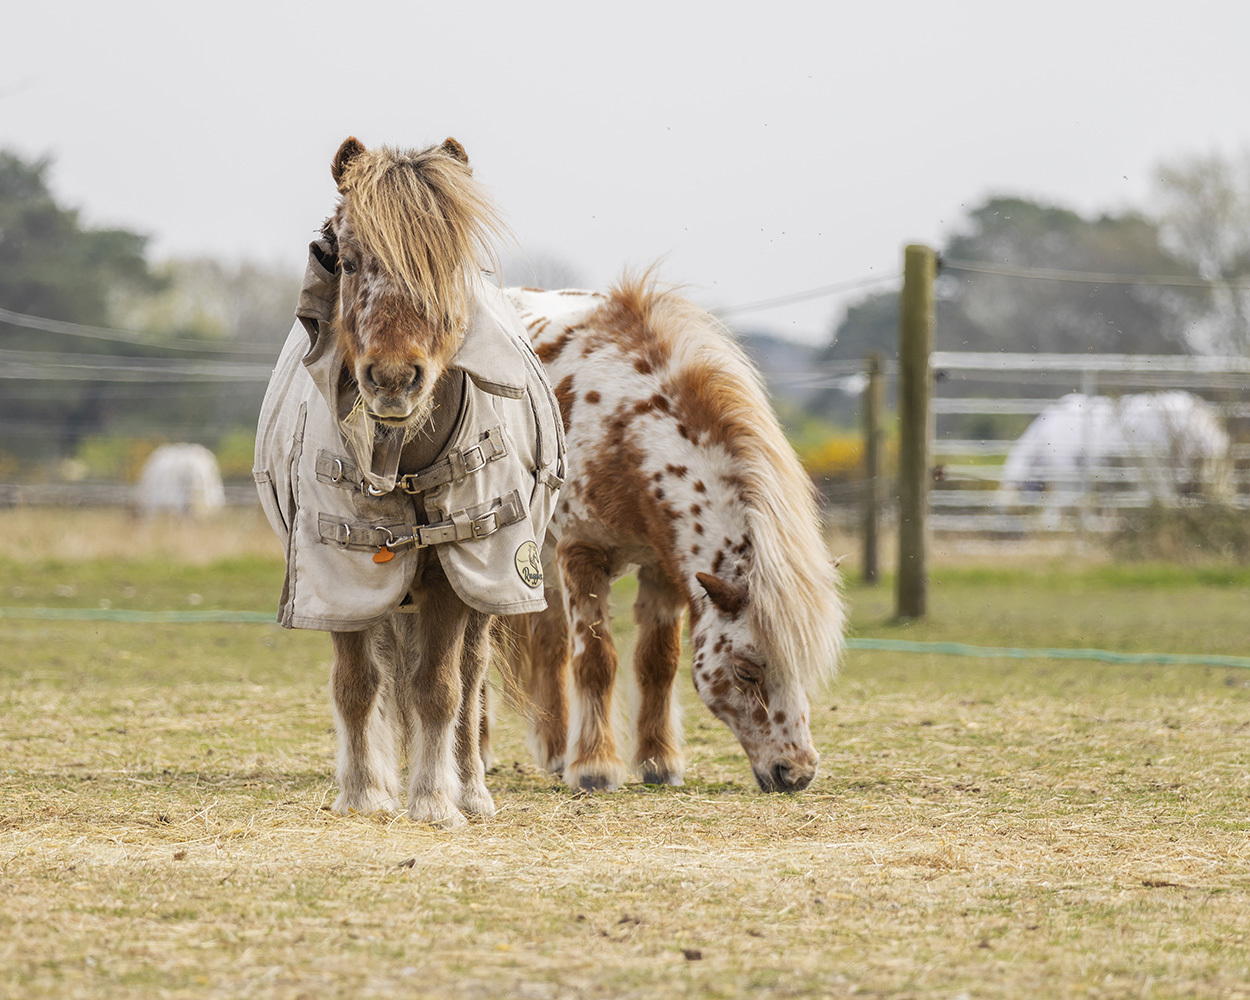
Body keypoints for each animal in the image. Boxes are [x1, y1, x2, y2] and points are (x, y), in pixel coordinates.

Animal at [254, 137, 562, 827]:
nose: (394, 379)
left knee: (469, 679)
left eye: (448, 265)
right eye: (347, 260)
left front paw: (433, 800)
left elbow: (439, 689)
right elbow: (356, 685)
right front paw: (365, 793)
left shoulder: (458, 567)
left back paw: (469, 788)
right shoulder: (339, 578)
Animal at [503, 278, 845, 792]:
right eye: (746, 671)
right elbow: (596, 660)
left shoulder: (662, 566)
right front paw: (595, 766)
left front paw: (657, 761)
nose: (796, 772)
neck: (621, 428)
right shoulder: (581, 552)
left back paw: (557, 749)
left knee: (549, 644)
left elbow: (657, 663)